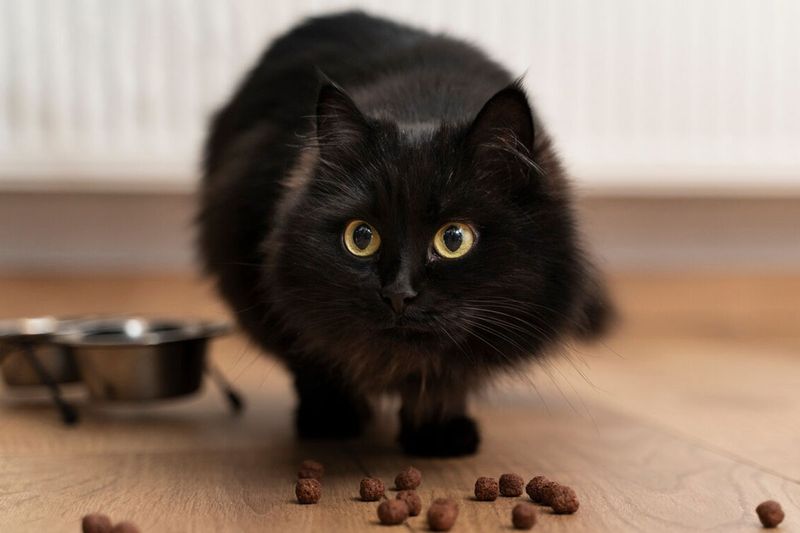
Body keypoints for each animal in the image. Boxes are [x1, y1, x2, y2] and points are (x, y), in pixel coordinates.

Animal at [200, 10, 612, 456]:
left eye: (454, 239)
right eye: (361, 238)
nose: (398, 293)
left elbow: (445, 376)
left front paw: (438, 432)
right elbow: (314, 355)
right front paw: (332, 418)